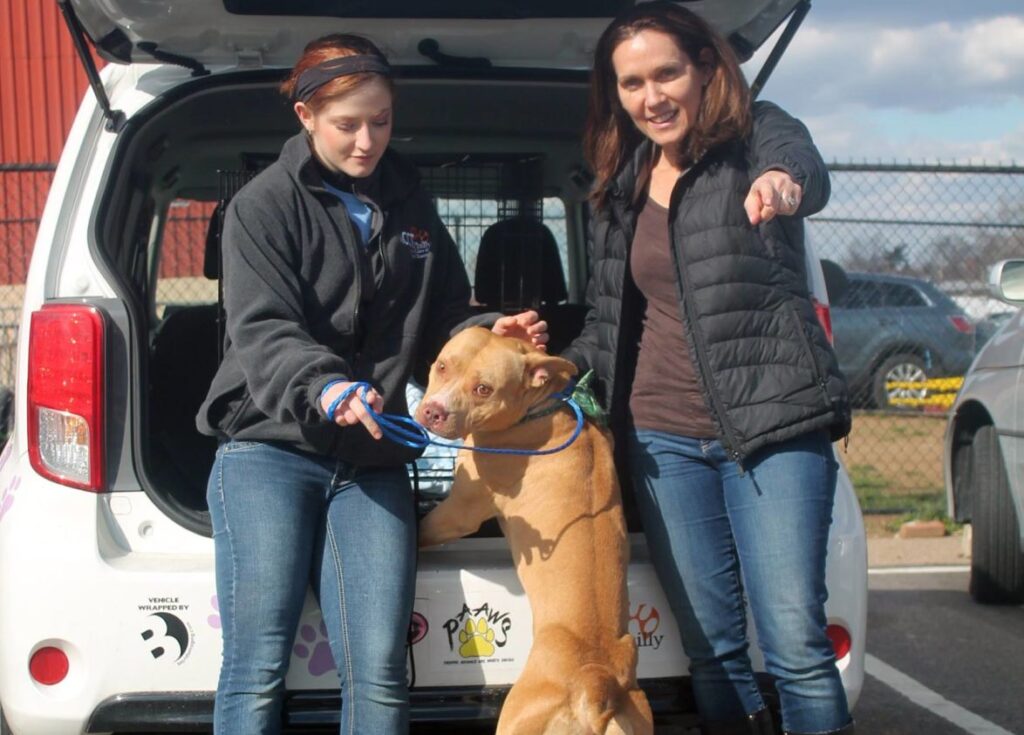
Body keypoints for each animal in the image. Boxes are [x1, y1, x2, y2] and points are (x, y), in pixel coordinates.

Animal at [411, 327, 651, 735]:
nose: (433, 412)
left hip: (517, 718)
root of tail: (596, 685)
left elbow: (425, 529)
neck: (542, 406)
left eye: (484, 389)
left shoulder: (459, 511)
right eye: (442, 366)